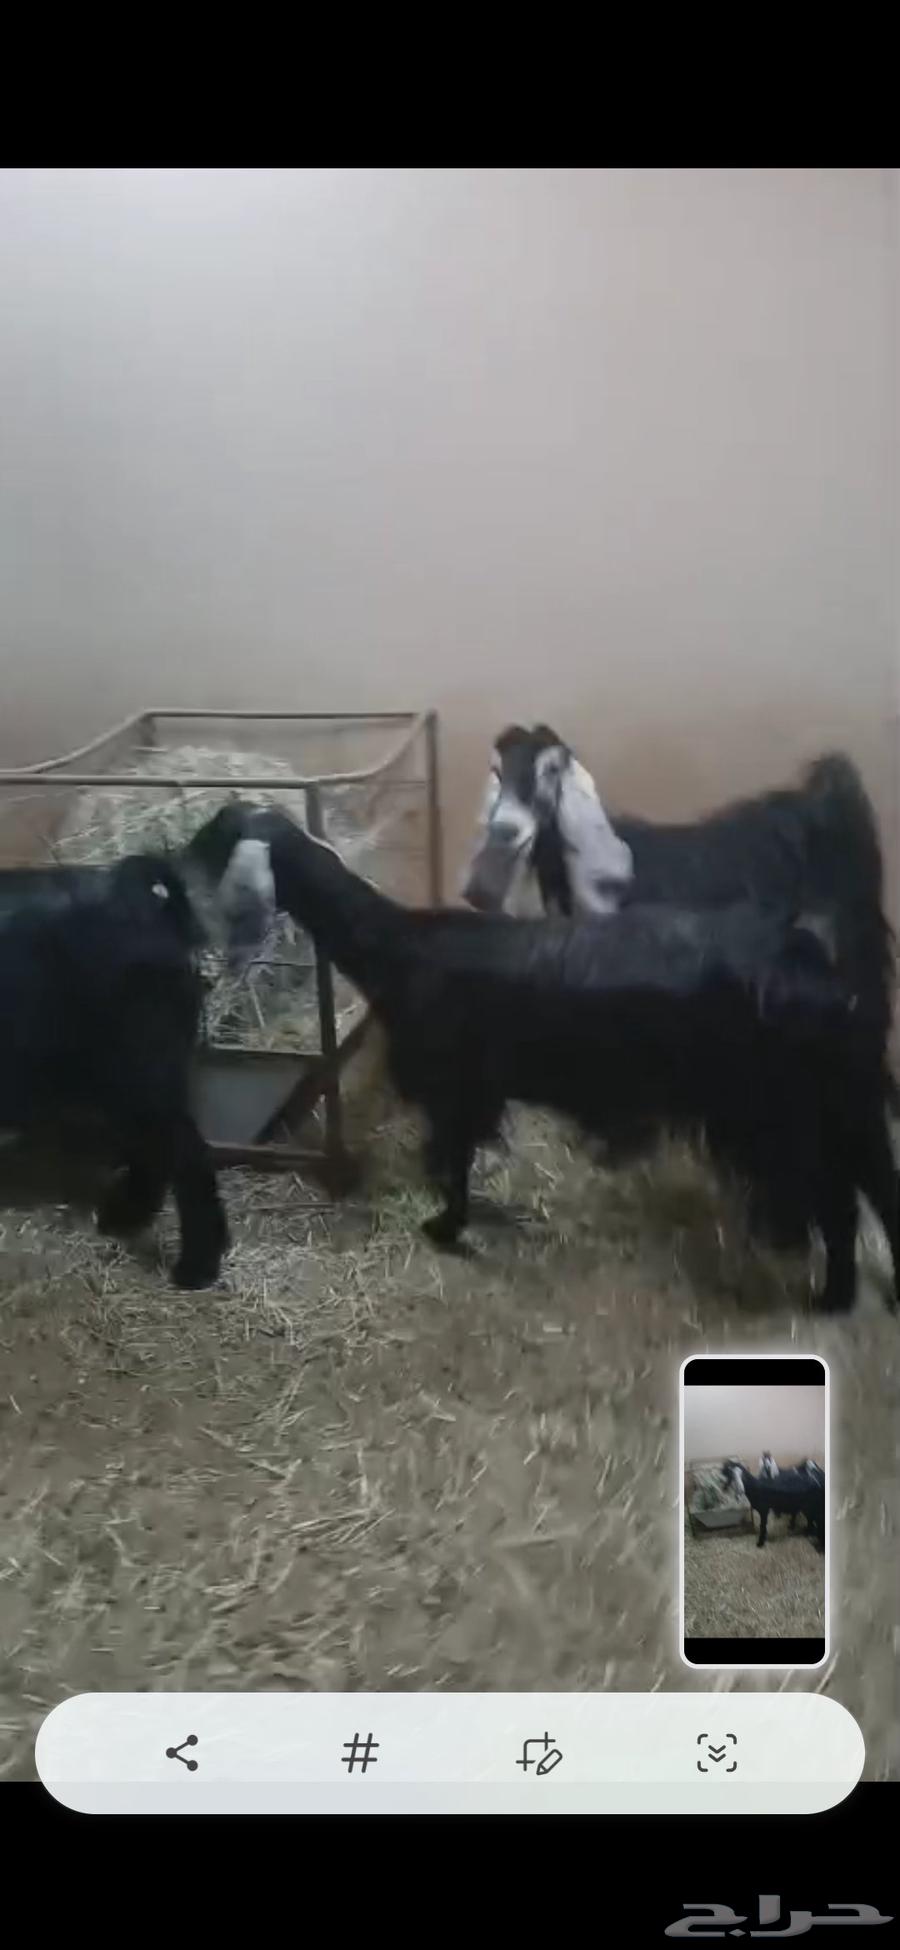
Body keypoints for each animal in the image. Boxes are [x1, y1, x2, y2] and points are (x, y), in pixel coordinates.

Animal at [191, 803, 899, 1316]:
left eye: (219, 830)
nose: (175, 860)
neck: (395, 946)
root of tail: (821, 974)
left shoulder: (454, 1090)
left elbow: (451, 1166)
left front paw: (443, 1229)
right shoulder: (472, 1094)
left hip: (784, 1119)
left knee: (838, 1204)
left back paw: (830, 1298)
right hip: (839, 1109)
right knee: (873, 1192)